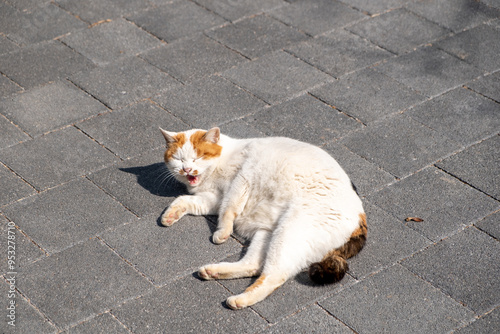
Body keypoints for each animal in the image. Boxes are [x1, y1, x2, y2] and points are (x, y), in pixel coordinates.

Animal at [160, 126, 368, 310]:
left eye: (198, 157)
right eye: (178, 159)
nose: (187, 169)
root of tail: (361, 217)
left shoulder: (242, 179)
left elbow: (229, 208)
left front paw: (222, 232)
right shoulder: (214, 198)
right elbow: (186, 200)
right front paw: (170, 215)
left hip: (289, 233)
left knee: (274, 276)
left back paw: (240, 299)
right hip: (267, 233)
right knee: (253, 265)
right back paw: (213, 272)